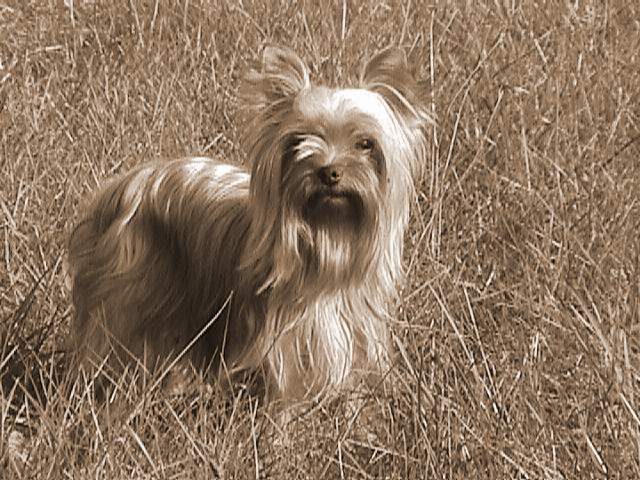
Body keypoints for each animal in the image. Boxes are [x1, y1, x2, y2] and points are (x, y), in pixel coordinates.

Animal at [67, 45, 431, 402]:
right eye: (299, 141)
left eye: (366, 144)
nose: (329, 172)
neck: (331, 236)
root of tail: (120, 186)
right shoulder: (282, 343)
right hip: (130, 293)